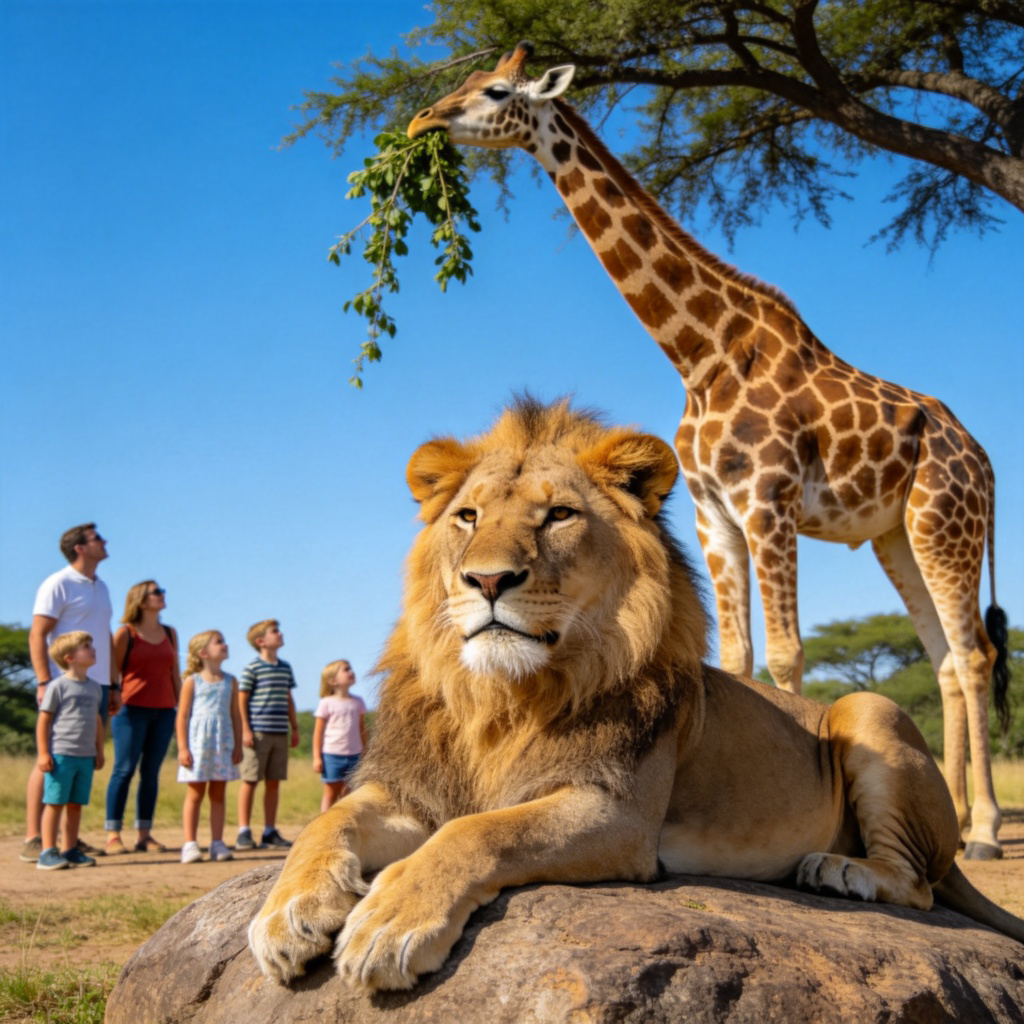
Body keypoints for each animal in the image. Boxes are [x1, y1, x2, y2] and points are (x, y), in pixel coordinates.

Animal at [249, 397, 1024, 991]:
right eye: (467, 517)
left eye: (558, 515)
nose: (488, 580)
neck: (502, 700)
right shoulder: (415, 792)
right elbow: (327, 824)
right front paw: (287, 914)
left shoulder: (617, 813)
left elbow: (480, 832)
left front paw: (388, 924)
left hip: (870, 711)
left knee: (918, 884)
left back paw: (839, 870)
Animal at [407, 43, 1011, 859]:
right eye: (464, 82)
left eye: (496, 92)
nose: (421, 121)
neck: (702, 353)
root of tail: (983, 459)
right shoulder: (713, 513)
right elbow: (739, 655)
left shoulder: (769, 502)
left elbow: (787, 652)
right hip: (895, 535)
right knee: (946, 659)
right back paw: (954, 816)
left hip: (945, 524)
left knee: (974, 654)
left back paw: (984, 831)